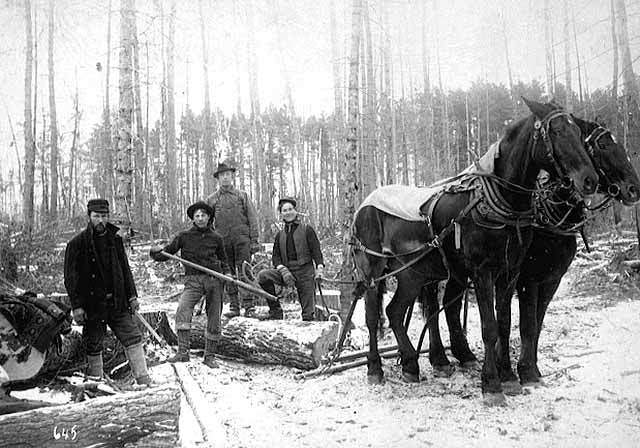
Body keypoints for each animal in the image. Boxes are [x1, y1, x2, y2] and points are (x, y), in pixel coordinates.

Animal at [352, 99, 596, 406]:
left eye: (579, 133)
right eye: (558, 131)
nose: (589, 180)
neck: (499, 201)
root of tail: (363, 206)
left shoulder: (510, 272)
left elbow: (504, 324)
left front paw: (509, 377)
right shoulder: (483, 272)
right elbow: (489, 327)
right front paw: (491, 384)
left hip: (413, 272)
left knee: (395, 311)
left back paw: (410, 364)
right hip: (373, 269)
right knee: (373, 315)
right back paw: (375, 368)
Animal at [420, 114, 640, 388]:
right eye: (602, 146)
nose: (634, 189)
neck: (547, 215)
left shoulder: (550, 280)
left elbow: (535, 324)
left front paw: (528, 369)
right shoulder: (528, 279)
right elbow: (524, 324)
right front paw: (522, 370)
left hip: (458, 270)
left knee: (450, 305)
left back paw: (465, 355)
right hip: (434, 271)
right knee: (432, 308)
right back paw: (439, 359)